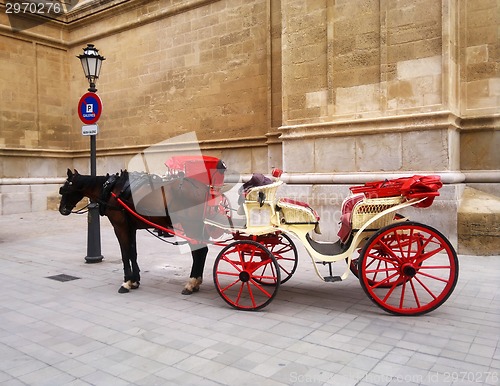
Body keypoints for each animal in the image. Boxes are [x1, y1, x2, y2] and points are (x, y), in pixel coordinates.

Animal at [59, 170, 211, 296]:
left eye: (64, 189)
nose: (62, 209)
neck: (111, 190)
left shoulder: (119, 227)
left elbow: (125, 253)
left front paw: (126, 282)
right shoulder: (131, 227)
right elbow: (133, 252)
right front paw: (135, 280)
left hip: (190, 225)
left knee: (198, 252)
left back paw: (191, 283)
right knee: (202, 251)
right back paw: (196, 282)